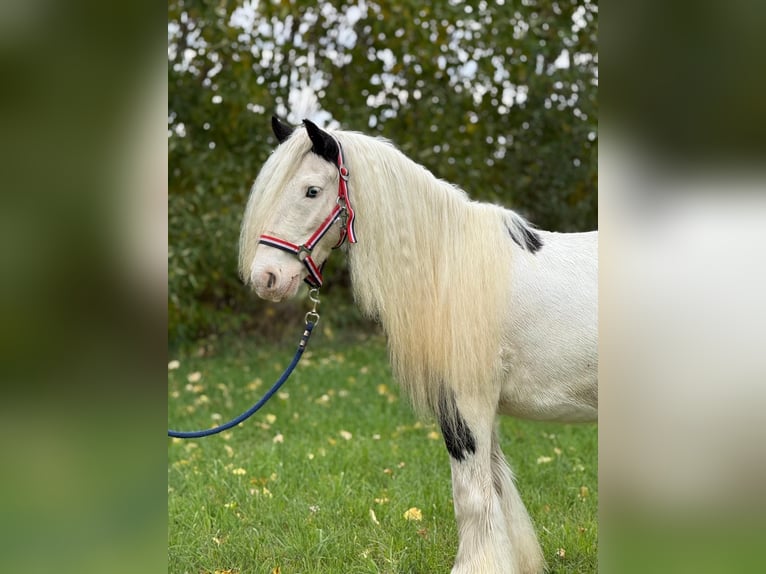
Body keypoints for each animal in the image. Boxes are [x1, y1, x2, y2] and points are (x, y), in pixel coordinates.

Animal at [239, 117, 598, 574]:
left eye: (312, 191)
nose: (266, 278)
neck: (446, 264)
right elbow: (497, 486)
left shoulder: (465, 402)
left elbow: (472, 494)